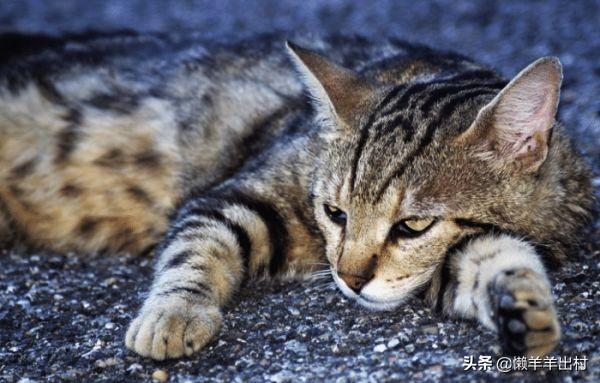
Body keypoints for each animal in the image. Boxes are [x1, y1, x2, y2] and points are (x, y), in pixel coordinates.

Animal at [0, 32, 592, 360]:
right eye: (335, 213)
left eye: (412, 226)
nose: (349, 280)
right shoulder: (233, 197)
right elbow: (196, 248)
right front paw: (173, 313)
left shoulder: (442, 262)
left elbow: (494, 256)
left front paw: (522, 305)